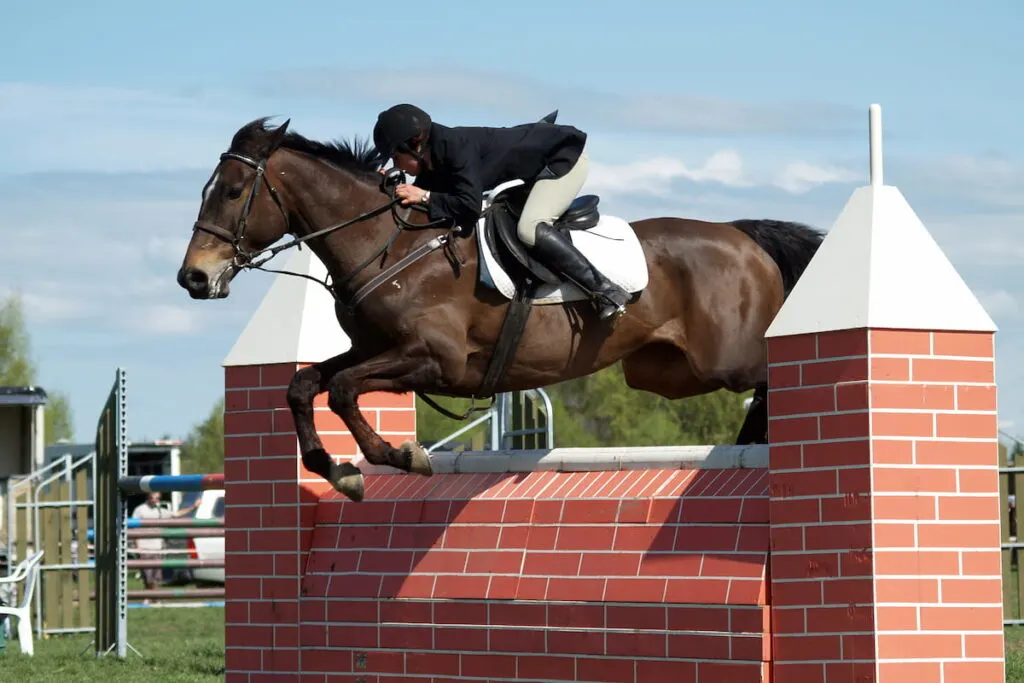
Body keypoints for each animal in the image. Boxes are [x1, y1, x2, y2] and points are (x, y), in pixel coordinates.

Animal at [172, 116, 819, 501]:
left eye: (233, 192)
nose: (193, 277)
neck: (389, 245)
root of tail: (742, 235)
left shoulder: (433, 360)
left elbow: (344, 390)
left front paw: (396, 457)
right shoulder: (374, 349)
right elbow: (306, 386)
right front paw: (341, 471)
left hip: (724, 359)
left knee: (766, 378)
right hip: (666, 371)